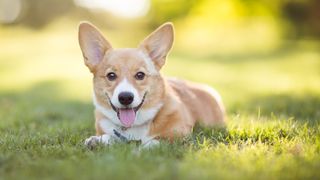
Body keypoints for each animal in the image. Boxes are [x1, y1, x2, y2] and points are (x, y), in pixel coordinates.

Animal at [79, 21, 225, 148]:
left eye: (140, 75)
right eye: (111, 75)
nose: (125, 98)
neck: (133, 126)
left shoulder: (181, 134)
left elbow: (155, 141)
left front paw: (142, 149)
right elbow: (111, 136)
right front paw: (97, 140)